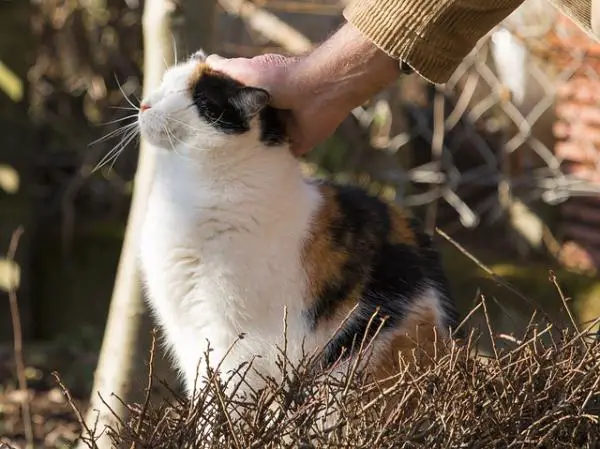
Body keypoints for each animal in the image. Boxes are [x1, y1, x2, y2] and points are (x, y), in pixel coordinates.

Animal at [136, 50, 460, 400]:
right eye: (164, 84)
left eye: (197, 102)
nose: (145, 105)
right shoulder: (189, 335)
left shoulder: (234, 342)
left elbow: (224, 403)